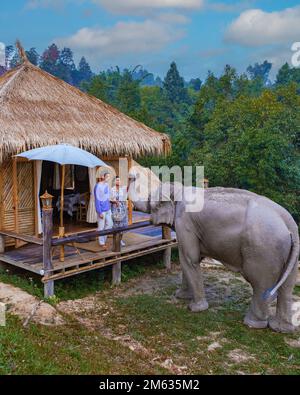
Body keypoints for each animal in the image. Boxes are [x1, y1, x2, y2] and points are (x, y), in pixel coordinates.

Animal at [127, 182, 298, 334]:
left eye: (150, 199)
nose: (131, 176)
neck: (180, 189)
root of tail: (290, 223)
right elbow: (190, 260)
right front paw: (181, 296)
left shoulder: (185, 222)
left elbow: (189, 259)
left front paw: (194, 308)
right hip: (289, 253)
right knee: (287, 287)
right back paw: (281, 328)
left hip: (263, 250)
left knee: (260, 284)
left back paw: (253, 324)